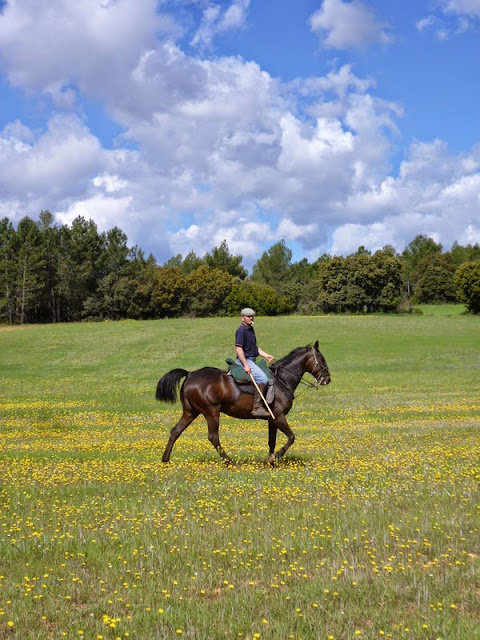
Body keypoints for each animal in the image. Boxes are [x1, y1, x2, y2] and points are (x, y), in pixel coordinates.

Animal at [156, 340, 332, 464]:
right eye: (322, 359)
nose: (327, 379)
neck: (282, 380)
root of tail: (190, 374)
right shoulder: (279, 416)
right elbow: (291, 437)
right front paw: (277, 456)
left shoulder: (272, 420)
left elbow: (272, 441)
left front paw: (271, 460)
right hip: (211, 412)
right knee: (213, 437)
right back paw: (229, 461)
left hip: (191, 412)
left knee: (175, 431)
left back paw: (165, 459)